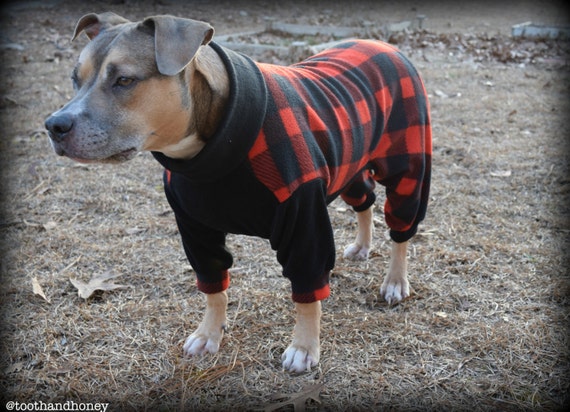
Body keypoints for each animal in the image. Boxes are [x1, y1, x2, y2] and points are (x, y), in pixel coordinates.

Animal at [45, 12, 430, 374]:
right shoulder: (195, 231)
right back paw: (363, 246)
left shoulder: (305, 222)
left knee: (401, 227)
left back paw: (395, 281)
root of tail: (384, 44)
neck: (210, 145)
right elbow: (213, 286)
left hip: (407, 166)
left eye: (124, 80)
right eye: (75, 79)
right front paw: (208, 334)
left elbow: (307, 292)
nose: (54, 125)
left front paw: (304, 347)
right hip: (350, 163)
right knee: (365, 201)